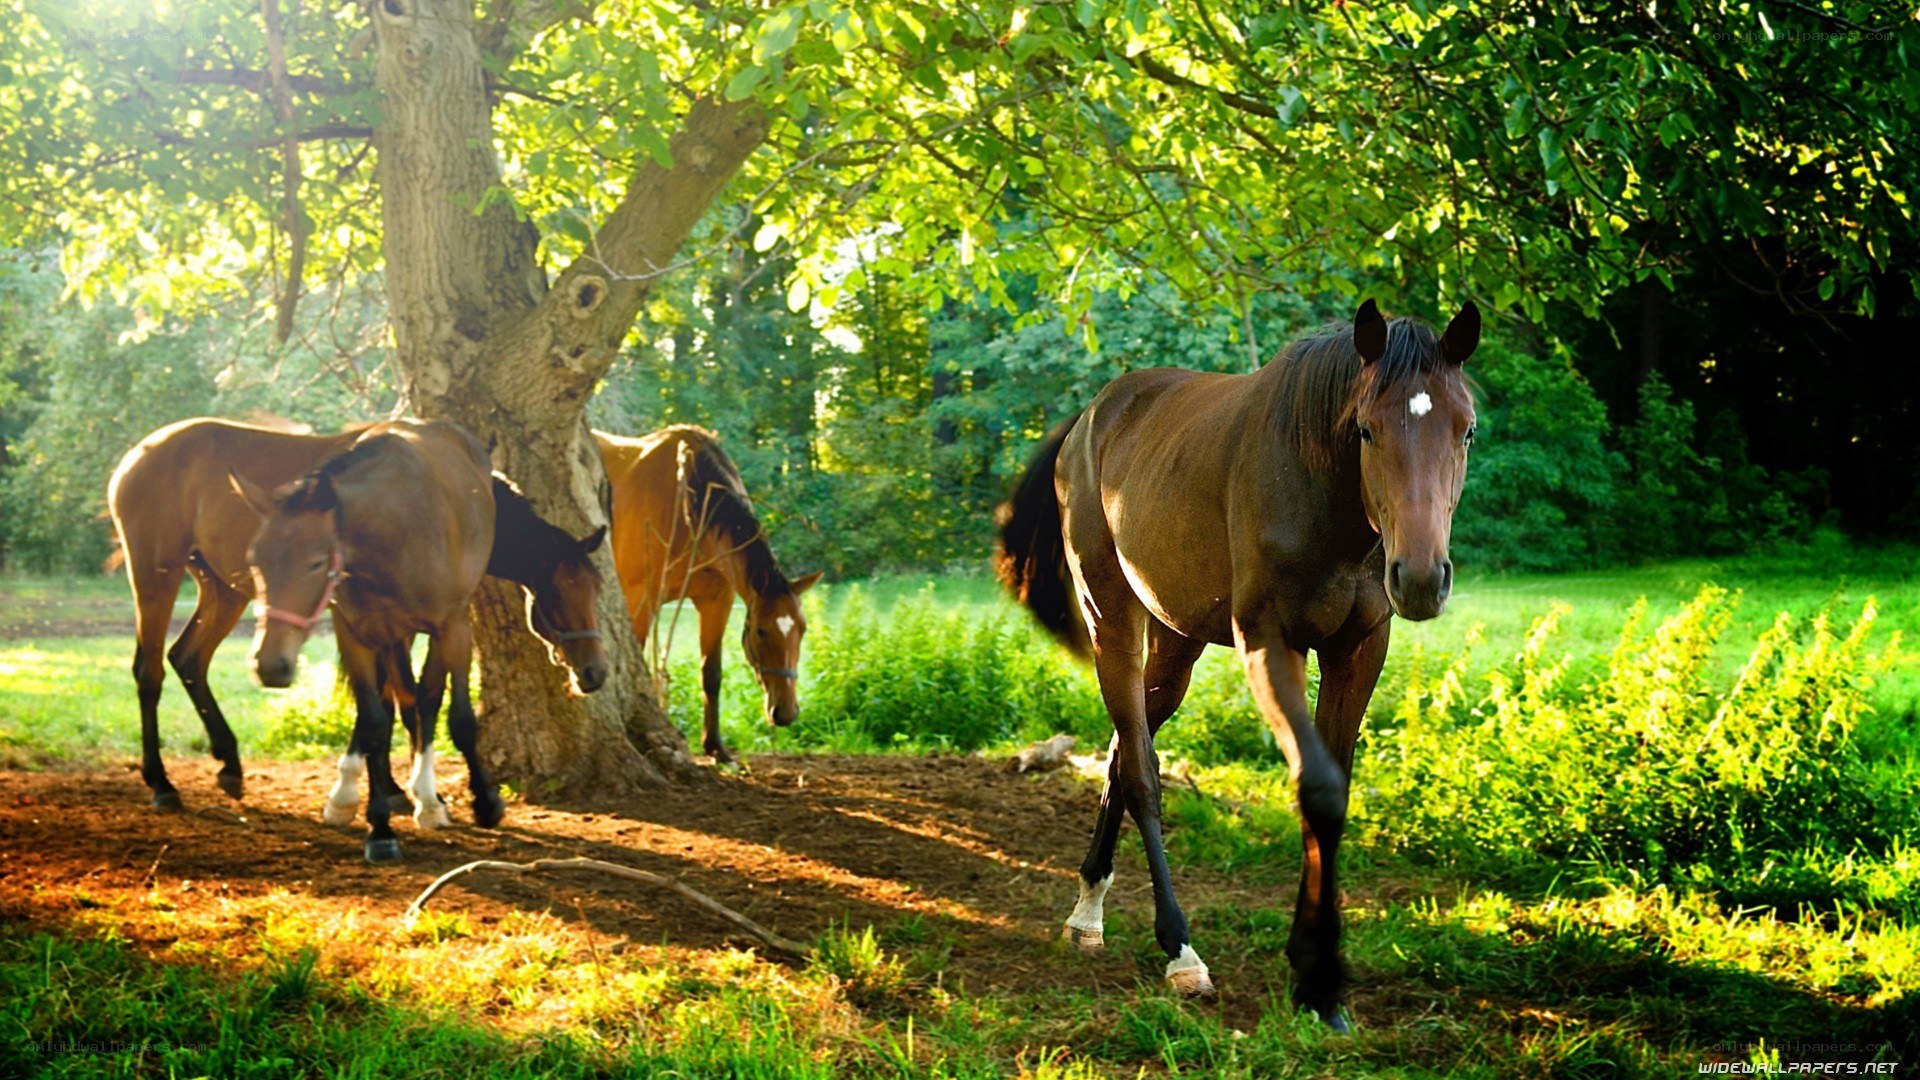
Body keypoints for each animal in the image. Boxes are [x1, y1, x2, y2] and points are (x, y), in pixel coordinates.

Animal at [237, 418, 504, 862]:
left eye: (315, 563)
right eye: (254, 560)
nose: (270, 665)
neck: (393, 529)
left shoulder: (453, 626)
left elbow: (460, 717)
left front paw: (484, 801)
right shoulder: (357, 633)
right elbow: (375, 719)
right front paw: (379, 828)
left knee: (426, 700)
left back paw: (429, 798)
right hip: (392, 637)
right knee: (398, 703)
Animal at [594, 427, 821, 763]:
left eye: (803, 630)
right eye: (761, 632)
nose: (786, 712)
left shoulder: (717, 601)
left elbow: (711, 675)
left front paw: (715, 746)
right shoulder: (640, 599)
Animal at [996, 299, 1479, 1027]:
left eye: (1466, 429)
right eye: (1366, 429)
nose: (1421, 579)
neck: (1318, 488)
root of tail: (1090, 420)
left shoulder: (1359, 649)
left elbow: (1332, 794)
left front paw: (1315, 978)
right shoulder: (1269, 643)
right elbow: (1317, 787)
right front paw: (1318, 976)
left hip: (1177, 643)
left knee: (1123, 746)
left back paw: (1088, 910)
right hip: (1113, 619)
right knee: (1140, 769)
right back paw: (1178, 948)